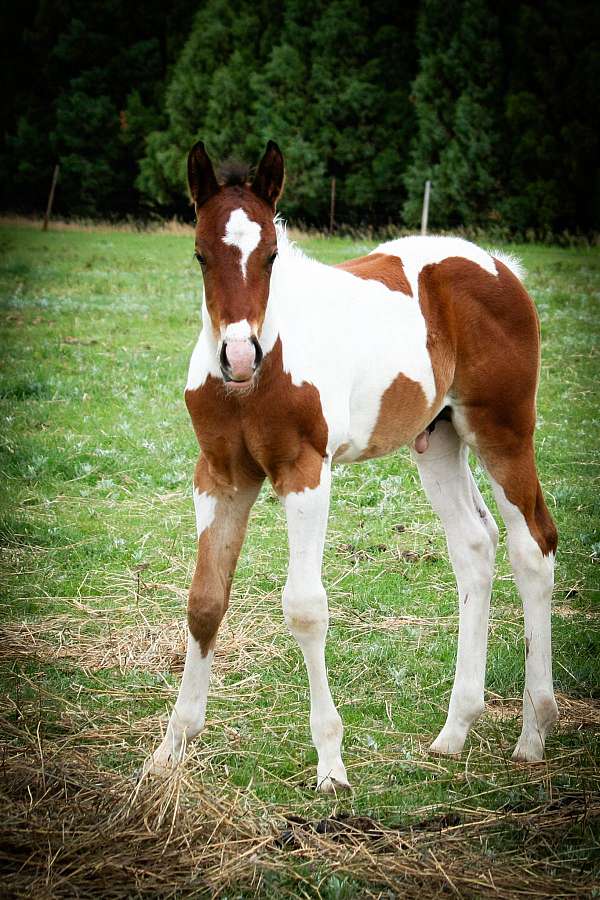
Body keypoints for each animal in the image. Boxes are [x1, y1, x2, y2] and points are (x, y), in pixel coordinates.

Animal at [143, 137, 560, 792]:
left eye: (271, 255)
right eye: (200, 255)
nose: (239, 355)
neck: (256, 380)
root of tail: (498, 266)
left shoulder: (305, 473)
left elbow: (305, 608)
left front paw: (331, 764)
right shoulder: (219, 477)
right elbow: (205, 603)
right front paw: (171, 749)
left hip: (503, 431)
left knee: (532, 546)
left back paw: (533, 734)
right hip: (438, 440)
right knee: (474, 547)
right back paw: (454, 732)